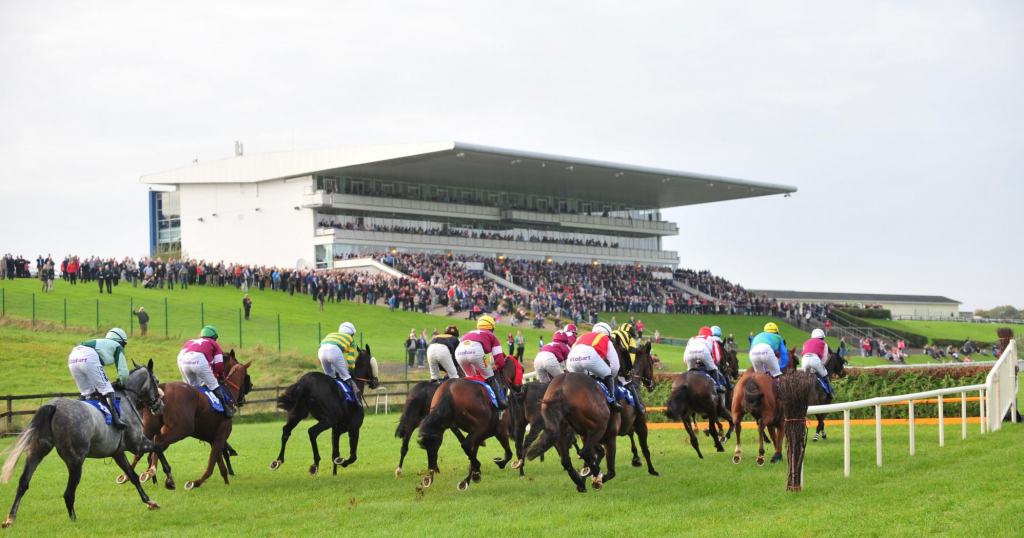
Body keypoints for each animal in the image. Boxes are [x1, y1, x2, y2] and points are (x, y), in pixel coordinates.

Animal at [2, 358, 164, 524]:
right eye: (157, 381)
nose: (160, 405)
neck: (127, 399)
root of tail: (53, 405)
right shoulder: (137, 444)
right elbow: (158, 447)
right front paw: (166, 478)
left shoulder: (118, 453)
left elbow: (133, 476)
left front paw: (150, 502)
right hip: (76, 461)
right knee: (68, 493)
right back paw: (74, 520)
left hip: (37, 451)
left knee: (23, 482)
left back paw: (10, 518)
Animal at [122, 350, 251, 487]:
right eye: (247, 376)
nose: (250, 385)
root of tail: (163, 388)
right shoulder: (220, 436)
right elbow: (212, 463)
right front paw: (196, 483)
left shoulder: (213, 439)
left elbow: (220, 464)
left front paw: (226, 482)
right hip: (181, 429)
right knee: (157, 444)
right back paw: (154, 472)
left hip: (151, 427)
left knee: (145, 448)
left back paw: (130, 475)